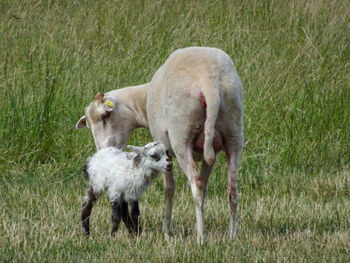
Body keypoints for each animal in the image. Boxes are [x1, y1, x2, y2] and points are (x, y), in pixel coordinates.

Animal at [74, 47, 243, 241]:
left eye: (106, 115)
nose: (102, 151)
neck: (142, 101)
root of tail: (210, 84)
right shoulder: (212, 151)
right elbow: (206, 184)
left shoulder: (164, 146)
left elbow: (169, 188)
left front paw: (167, 229)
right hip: (234, 133)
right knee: (232, 190)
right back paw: (232, 234)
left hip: (181, 137)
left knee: (197, 187)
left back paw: (201, 237)